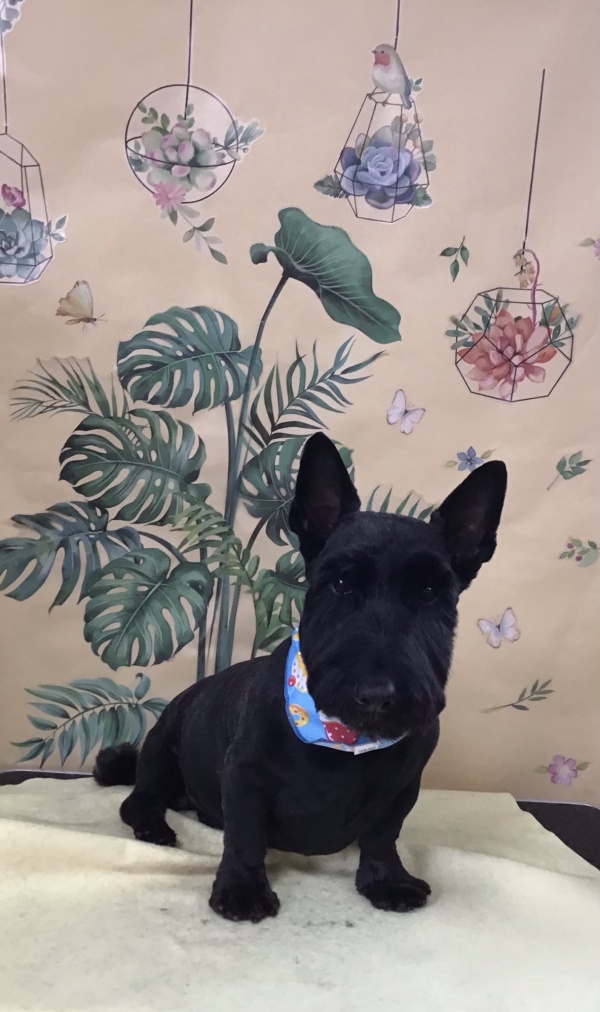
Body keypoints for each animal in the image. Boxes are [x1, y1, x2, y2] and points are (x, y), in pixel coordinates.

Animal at [94, 433, 507, 923]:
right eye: (341, 583)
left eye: (428, 592)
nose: (377, 695)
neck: (343, 737)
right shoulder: (245, 776)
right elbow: (245, 837)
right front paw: (242, 888)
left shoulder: (403, 788)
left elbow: (383, 836)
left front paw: (386, 879)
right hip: (160, 750)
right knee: (139, 798)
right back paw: (154, 825)